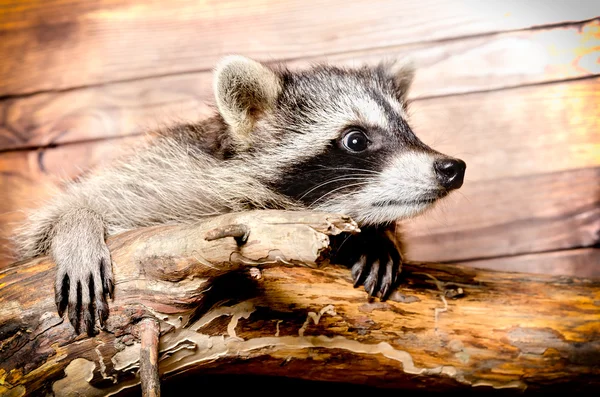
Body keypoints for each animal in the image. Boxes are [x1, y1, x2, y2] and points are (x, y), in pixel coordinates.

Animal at [14, 55, 464, 334]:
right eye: (356, 140)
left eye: (409, 131)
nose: (452, 168)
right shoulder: (159, 176)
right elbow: (63, 215)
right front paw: (76, 223)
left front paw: (376, 235)